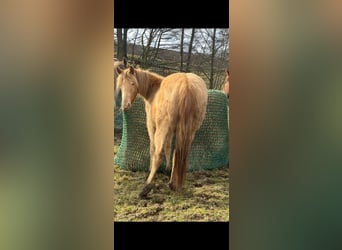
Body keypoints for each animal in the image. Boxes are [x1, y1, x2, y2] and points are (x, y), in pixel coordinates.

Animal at [115, 66, 208, 197]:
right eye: (121, 86)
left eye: (132, 83)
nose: (125, 106)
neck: (154, 90)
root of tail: (186, 85)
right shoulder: (171, 131)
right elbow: (168, 148)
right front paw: (168, 171)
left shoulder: (152, 126)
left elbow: (153, 149)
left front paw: (149, 173)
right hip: (190, 131)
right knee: (178, 153)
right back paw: (173, 184)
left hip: (162, 129)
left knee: (158, 155)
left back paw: (146, 186)